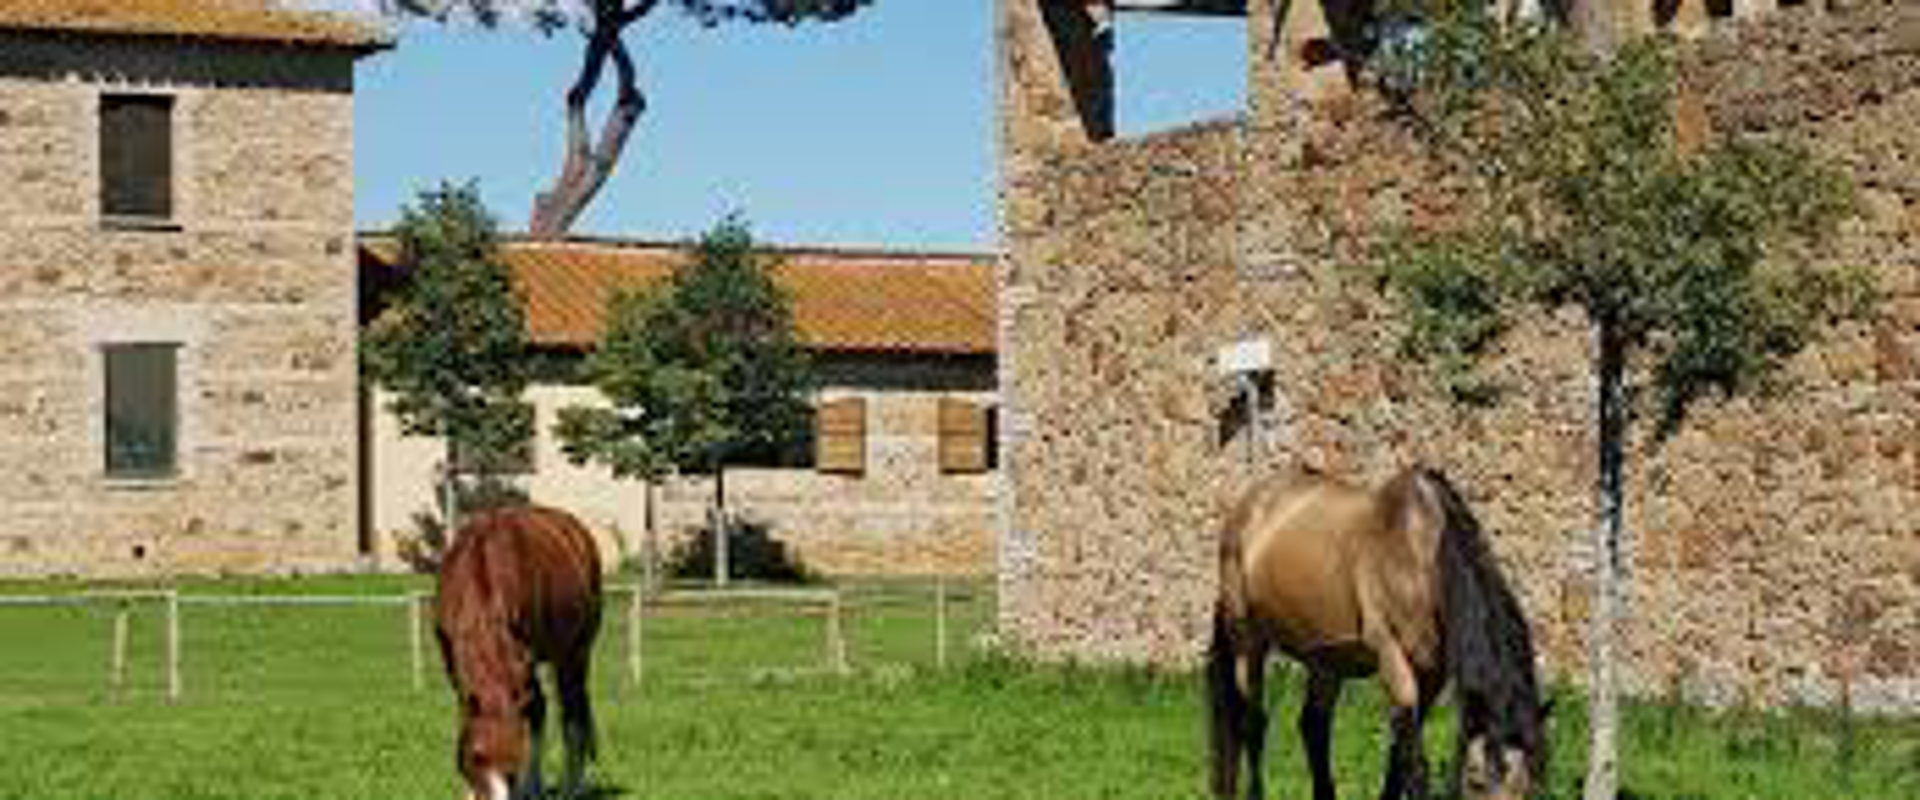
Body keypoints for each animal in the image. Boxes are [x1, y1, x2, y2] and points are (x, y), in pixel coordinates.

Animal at [436, 505, 604, 800]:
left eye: (515, 761)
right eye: (477, 756)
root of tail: (576, 530)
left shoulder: (523, 662)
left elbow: (536, 713)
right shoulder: (454, 668)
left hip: (574, 656)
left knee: (571, 714)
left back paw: (569, 787)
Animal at [1207, 464, 1549, 800]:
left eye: (1530, 786)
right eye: (1476, 782)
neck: (1421, 558)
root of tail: (1248, 506)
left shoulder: (1432, 675)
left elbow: (1399, 755)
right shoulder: (1391, 656)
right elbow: (1414, 761)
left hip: (1327, 659)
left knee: (1313, 726)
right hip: (1248, 641)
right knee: (1253, 723)